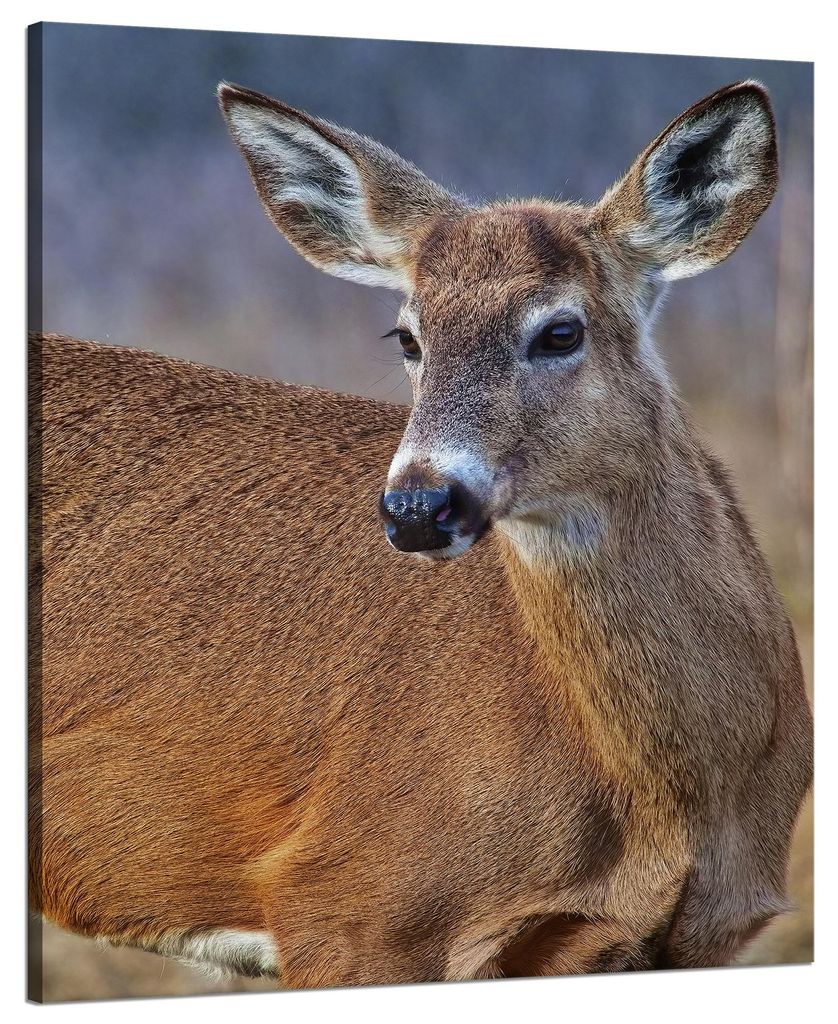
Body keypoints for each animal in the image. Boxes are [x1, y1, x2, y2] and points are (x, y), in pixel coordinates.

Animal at [30, 80, 813, 991]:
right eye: (408, 336)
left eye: (561, 331)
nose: (417, 506)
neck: (680, 796)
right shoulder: (350, 902)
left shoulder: (703, 936)